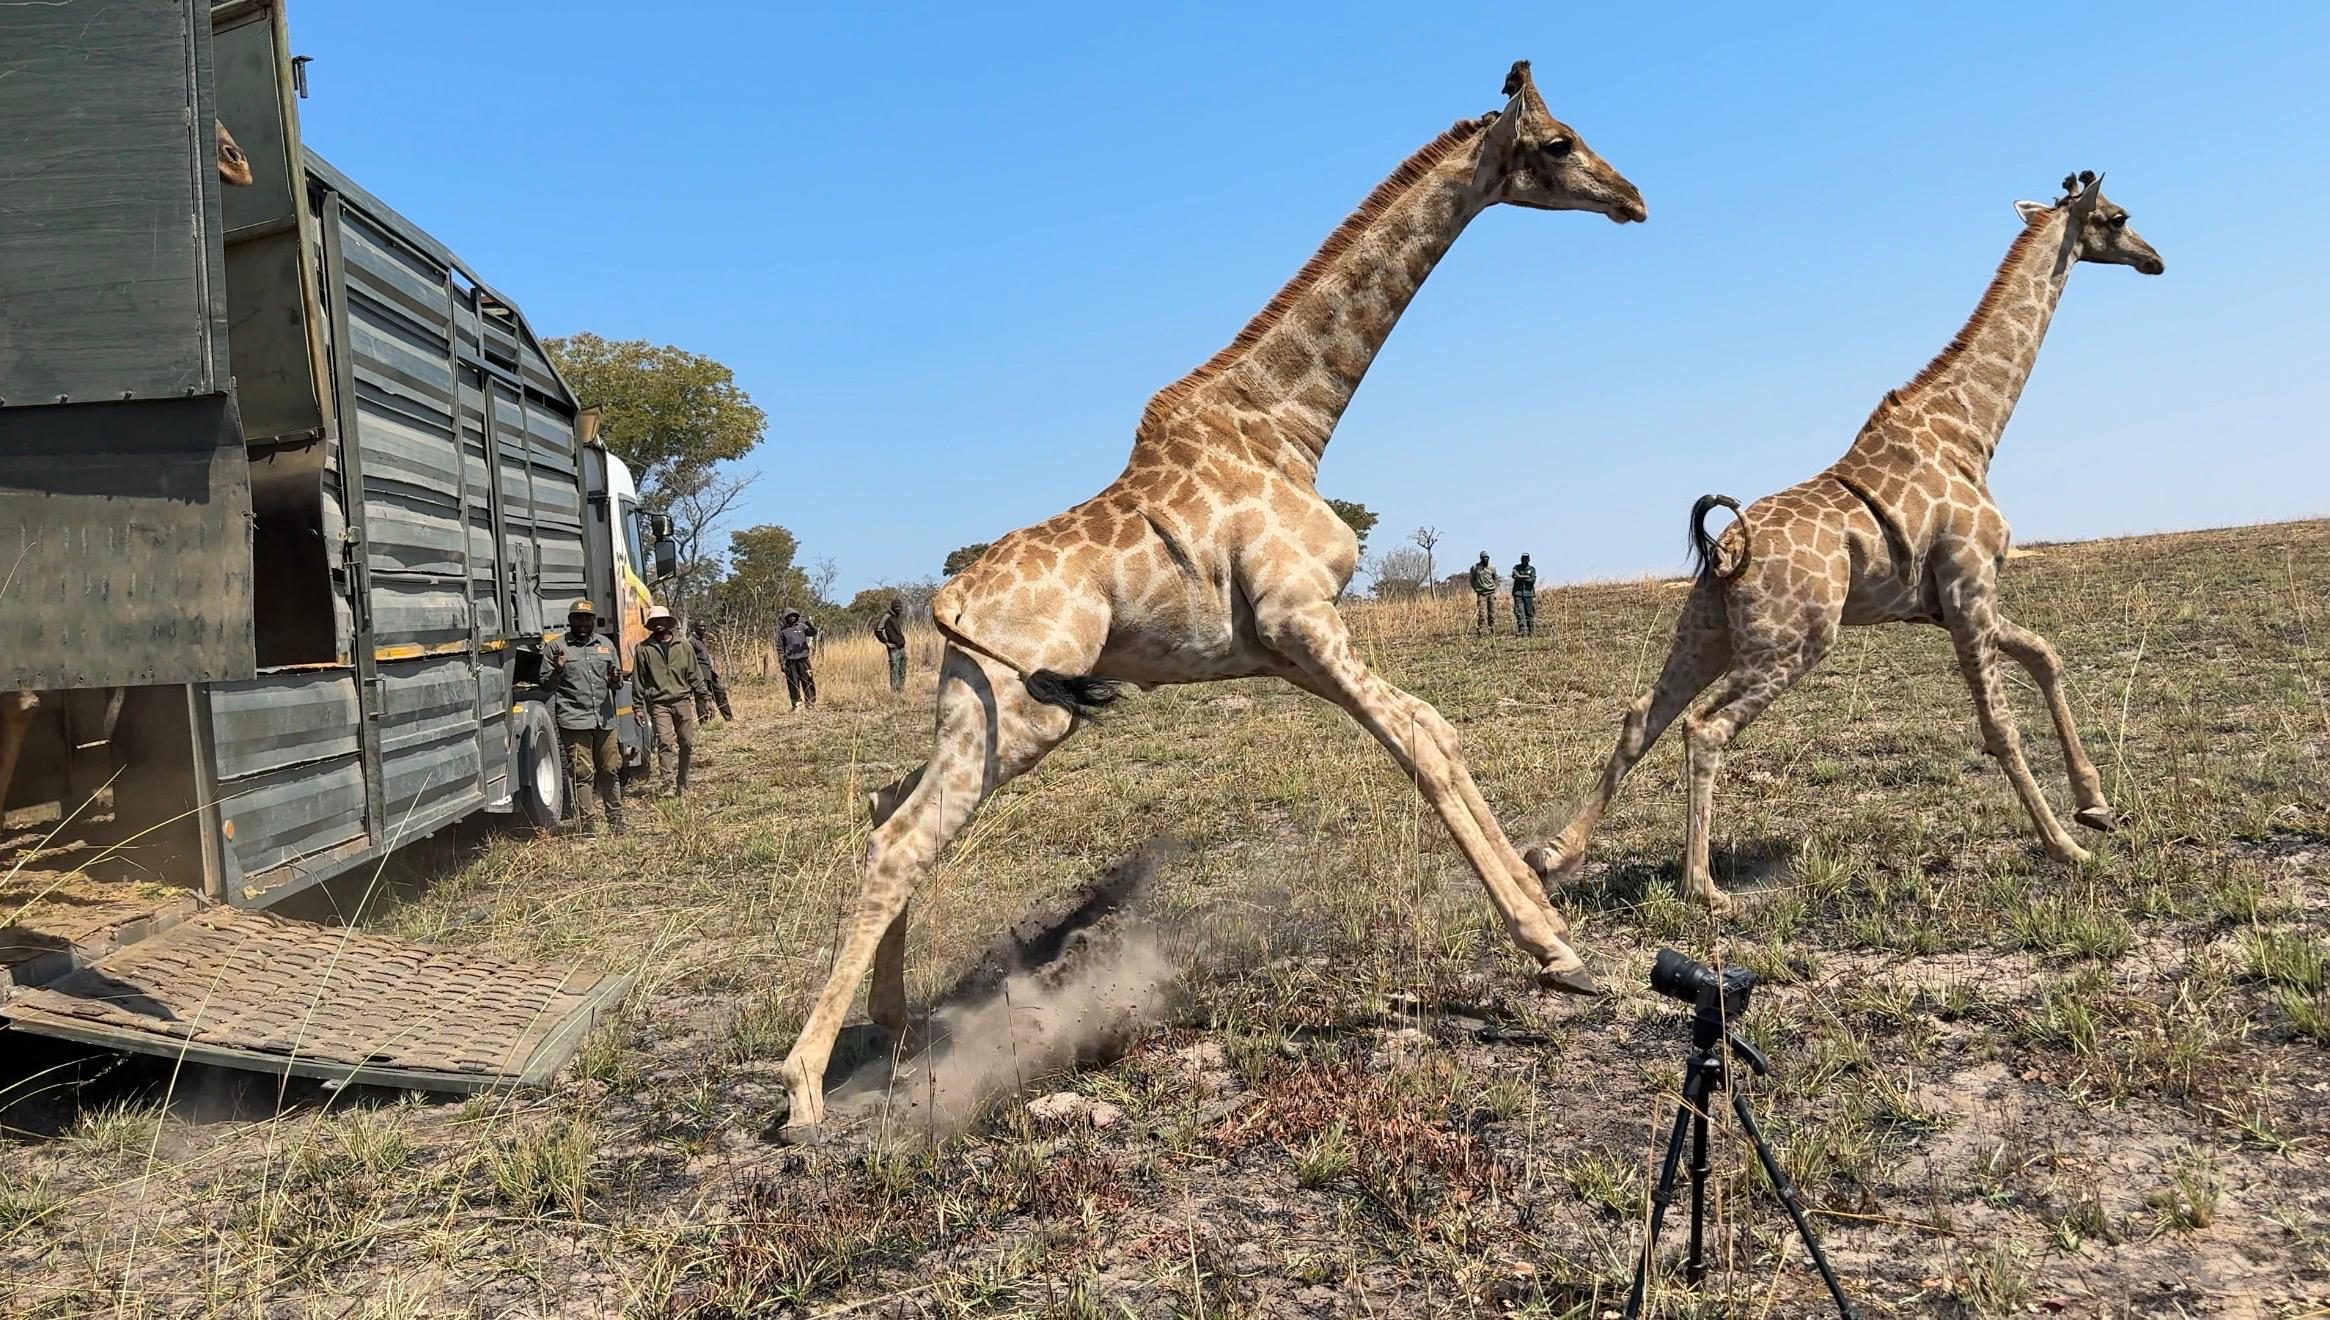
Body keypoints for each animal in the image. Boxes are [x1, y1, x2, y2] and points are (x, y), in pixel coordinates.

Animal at [774, 61, 1647, 1139]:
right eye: (1560, 143)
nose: (1632, 198)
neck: (1287, 426)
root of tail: (945, 599)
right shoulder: (1298, 618)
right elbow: (1419, 743)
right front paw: (1556, 950)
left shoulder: (1286, 644)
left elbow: (1435, 731)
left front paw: (1550, 915)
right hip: (1024, 714)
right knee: (900, 841)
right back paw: (804, 1091)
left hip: (978, 708)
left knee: (888, 809)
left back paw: (895, 1031)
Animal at [1525, 171, 2163, 914]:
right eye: (2118, 217)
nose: (2155, 260)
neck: (1972, 431)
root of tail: (1726, 546)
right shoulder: (1969, 584)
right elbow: (1999, 725)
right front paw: (2067, 845)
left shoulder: (1950, 602)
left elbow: (2046, 654)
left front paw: (2095, 805)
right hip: (1794, 641)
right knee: (1704, 729)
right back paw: (1704, 888)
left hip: (1706, 631)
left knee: (1639, 718)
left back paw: (1554, 855)